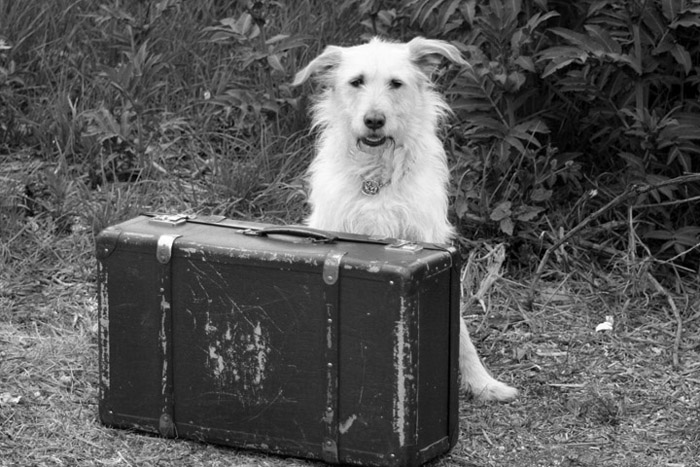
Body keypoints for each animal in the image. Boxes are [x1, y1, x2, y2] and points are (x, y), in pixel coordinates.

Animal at [293, 37, 517, 402]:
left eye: (395, 83)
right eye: (356, 81)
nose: (374, 120)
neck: (376, 176)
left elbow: (461, 331)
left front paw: (484, 383)